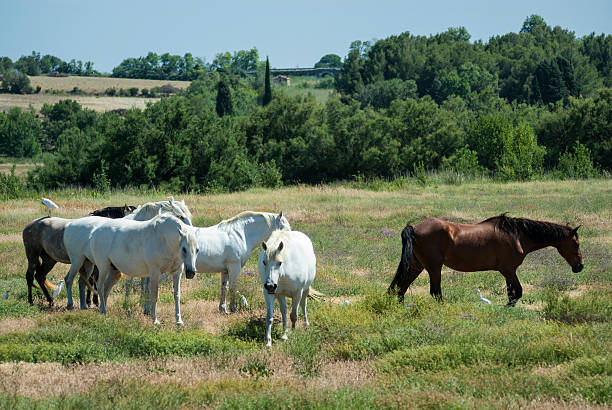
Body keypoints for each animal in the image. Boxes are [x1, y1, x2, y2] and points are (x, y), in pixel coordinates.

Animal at [388, 215, 584, 304]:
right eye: (576, 244)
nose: (580, 266)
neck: (517, 235)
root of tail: (413, 228)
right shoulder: (509, 270)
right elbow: (518, 292)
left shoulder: (507, 273)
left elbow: (512, 293)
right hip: (434, 268)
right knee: (435, 293)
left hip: (416, 266)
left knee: (398, 288)